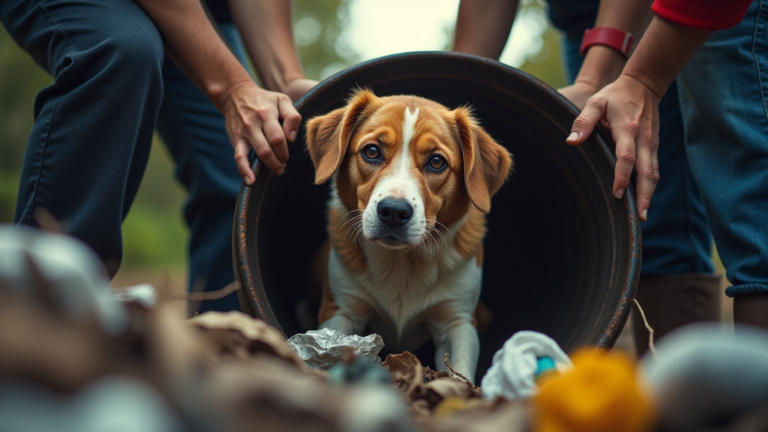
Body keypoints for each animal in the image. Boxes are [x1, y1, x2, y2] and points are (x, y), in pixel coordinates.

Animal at [304, 89, 512, 380]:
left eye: (436, 161)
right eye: (371, 151)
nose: (393, 211)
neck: (402, 262)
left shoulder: (457, 322)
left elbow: (459, 372)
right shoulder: (340, 311)